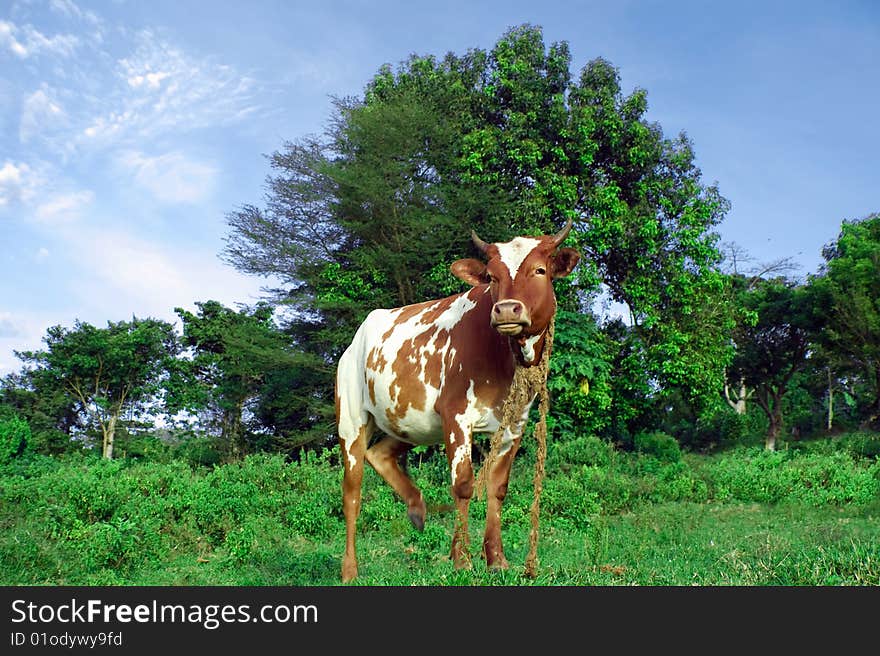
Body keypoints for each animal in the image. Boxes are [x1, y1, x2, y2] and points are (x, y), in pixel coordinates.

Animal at [336, 219, 576, 580]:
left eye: (540, 270)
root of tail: (357, 338)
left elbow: (497, 488)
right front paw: (461, 558)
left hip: (412, 420)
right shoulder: (456, 417)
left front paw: (496, 559)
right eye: (491, 276)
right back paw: (350, 569)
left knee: (379, 454)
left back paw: (417, 509)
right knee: (352, 492)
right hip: (351, 419)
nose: (506, 309)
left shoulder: (514, 424)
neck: (504, 358)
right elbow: (463, 485)